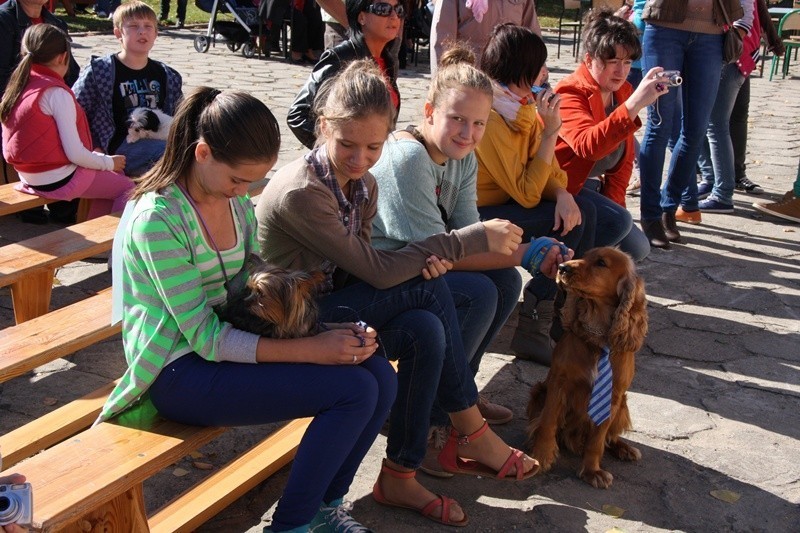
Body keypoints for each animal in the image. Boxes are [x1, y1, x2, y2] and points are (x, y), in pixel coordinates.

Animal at [524, 245, 648, 486]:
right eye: (585, 255)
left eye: (601, 263)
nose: (562, 267)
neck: (598, 339)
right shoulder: (558, 384)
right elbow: (548, 423)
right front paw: (541, 456)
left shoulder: (613, 397)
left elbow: (597, 440)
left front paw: (592, 471)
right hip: (539, 391)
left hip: (624, 404)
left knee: (610, 437)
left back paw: (625, 448)